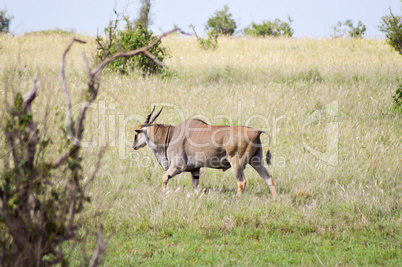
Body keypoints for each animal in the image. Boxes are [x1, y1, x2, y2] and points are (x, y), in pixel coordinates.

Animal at [132, 107, 276, 197]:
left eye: (136, 132)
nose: (133, 146)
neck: (172, 135)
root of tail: (255, 131)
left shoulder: (177, 167)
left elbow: (164, 179)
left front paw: (163, 194)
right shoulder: (195, 170)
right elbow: (196, 186)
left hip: (237, 164)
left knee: (242, 182)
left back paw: (236, 198)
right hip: (256, 161)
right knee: (268, 178)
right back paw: (275, 198)